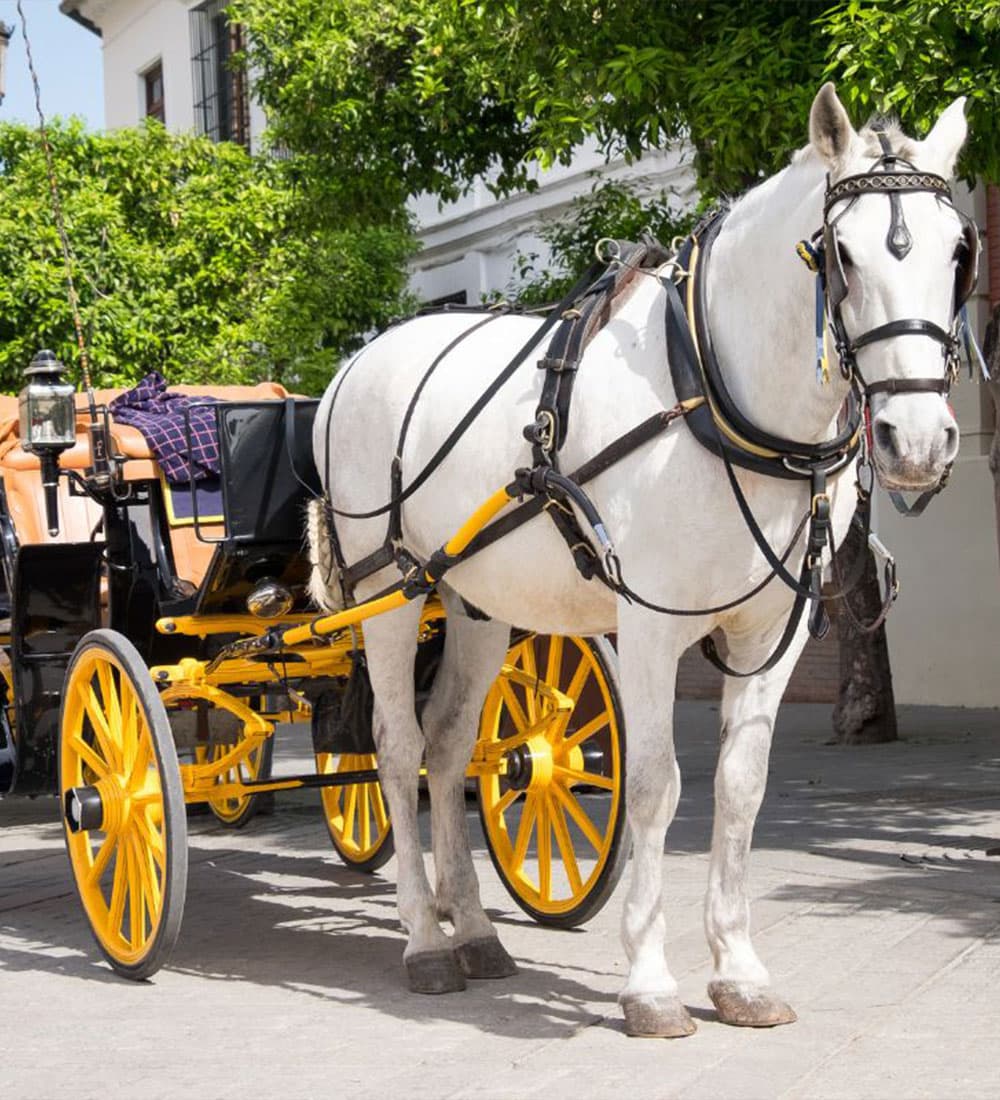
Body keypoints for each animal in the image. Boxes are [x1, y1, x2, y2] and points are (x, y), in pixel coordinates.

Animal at [307, 84, 973, 1037]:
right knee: (397, 752)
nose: (915, 441)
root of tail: (354, 363)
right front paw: (651, 983)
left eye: (959, 253)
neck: (712, 388)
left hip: (475, 602)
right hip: (389, 592)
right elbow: (658, 785)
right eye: (840, 256)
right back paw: (425, 943)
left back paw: (472, 930)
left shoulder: (773, 627)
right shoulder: (653, 625)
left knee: (447, 745)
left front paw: (738, 972)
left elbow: (740, 787)